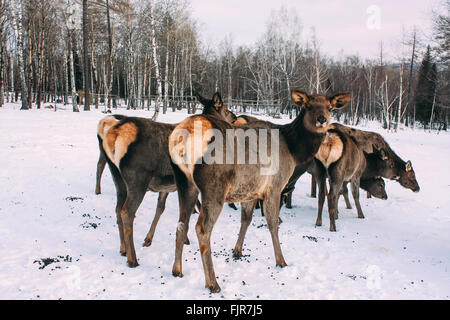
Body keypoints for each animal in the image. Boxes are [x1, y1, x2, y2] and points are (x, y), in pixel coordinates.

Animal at [97, 92, 236, 268]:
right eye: (225, 109)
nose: (234, 117)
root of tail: (113, 134)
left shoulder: (168, 187)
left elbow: (162, 209)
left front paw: (149, 239)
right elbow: (189, 212)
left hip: (117, 176)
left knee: (117, 208)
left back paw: (123, 249)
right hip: (138, 178)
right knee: (126, 212)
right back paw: (132, 258)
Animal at [168, 90, 352, 292]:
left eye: (329, 107)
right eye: (309, 106)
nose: (322, 119)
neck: (293, 150)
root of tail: (182, 137)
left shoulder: (251, 190)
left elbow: (246, 219)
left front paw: (237, 251)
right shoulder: (275, 187)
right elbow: (273, 223)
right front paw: (281, 260)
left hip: (185, 183)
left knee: (181, 223)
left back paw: (177, 270)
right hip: (214, 187)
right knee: (201, 228)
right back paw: (213, 283)